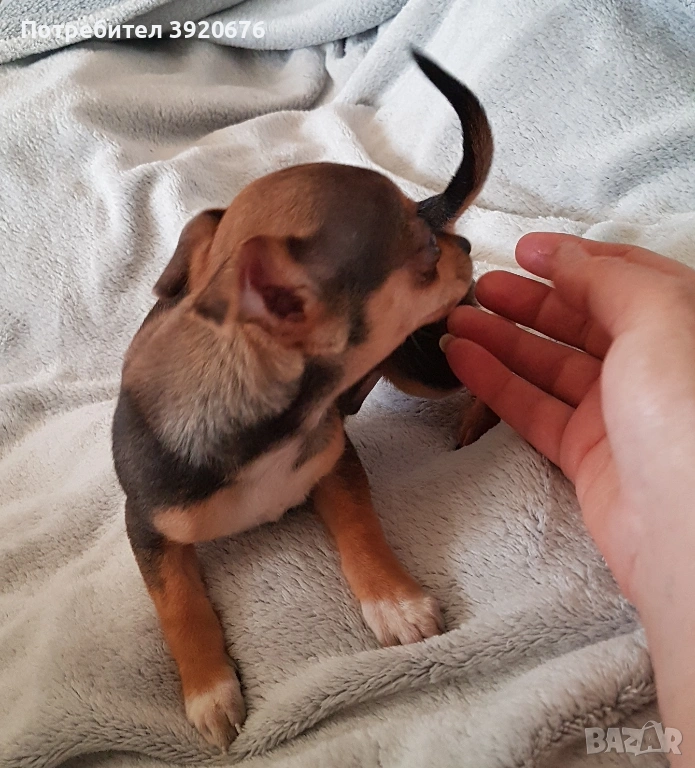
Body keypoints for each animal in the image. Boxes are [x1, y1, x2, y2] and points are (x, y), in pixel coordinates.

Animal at [112, 51, 494, 751]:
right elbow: (178, 603)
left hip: (420, 363)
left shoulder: (334, 464)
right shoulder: (147, 523)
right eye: (424, 253)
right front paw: (209, 690)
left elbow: (361, 529)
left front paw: (395, 601)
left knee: (490, 344)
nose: (462, 245)